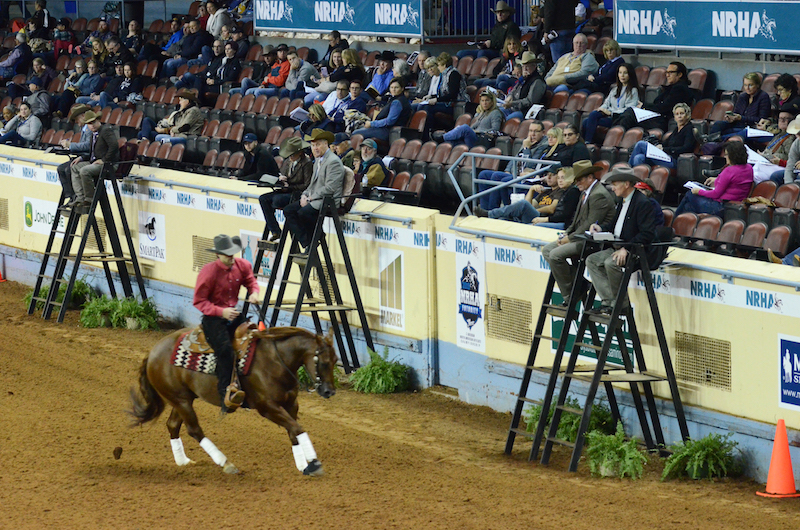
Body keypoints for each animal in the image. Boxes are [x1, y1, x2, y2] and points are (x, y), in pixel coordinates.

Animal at [130, 324, 336, 472]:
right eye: (324, 362)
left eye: (335, 361)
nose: (330, 392)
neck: (275, 361)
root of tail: (152, 352)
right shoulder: (267, 407)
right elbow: (297, 428)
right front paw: (314, 463)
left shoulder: (291, 404)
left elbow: (293, 430)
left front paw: (303, 465)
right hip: (180, 400)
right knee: (194, 429)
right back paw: (226, 463)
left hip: (183, 399)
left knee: (173, 425)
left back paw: (184, 462)